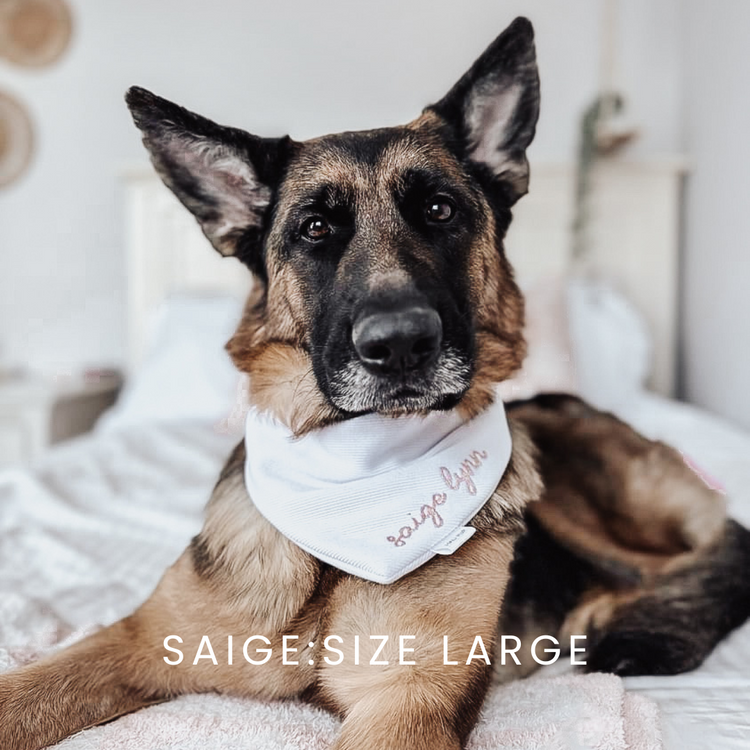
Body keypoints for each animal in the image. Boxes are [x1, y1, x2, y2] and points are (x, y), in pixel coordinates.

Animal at [1, 17, 750, 750]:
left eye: (441, 211)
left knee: (718, 545)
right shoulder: (138, 639)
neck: (351, 482)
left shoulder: (407, 696)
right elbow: (29, 690)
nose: (400, 346)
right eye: (315, 229)